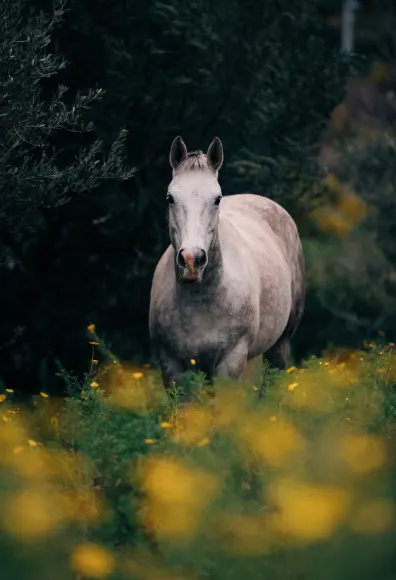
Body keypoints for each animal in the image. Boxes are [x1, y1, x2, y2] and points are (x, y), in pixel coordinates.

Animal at [150, 135, 304, 394]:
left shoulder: (230, 361)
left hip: (281, 344)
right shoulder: (171, 364)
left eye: (217, 199)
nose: (192, 260)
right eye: (170, 198)